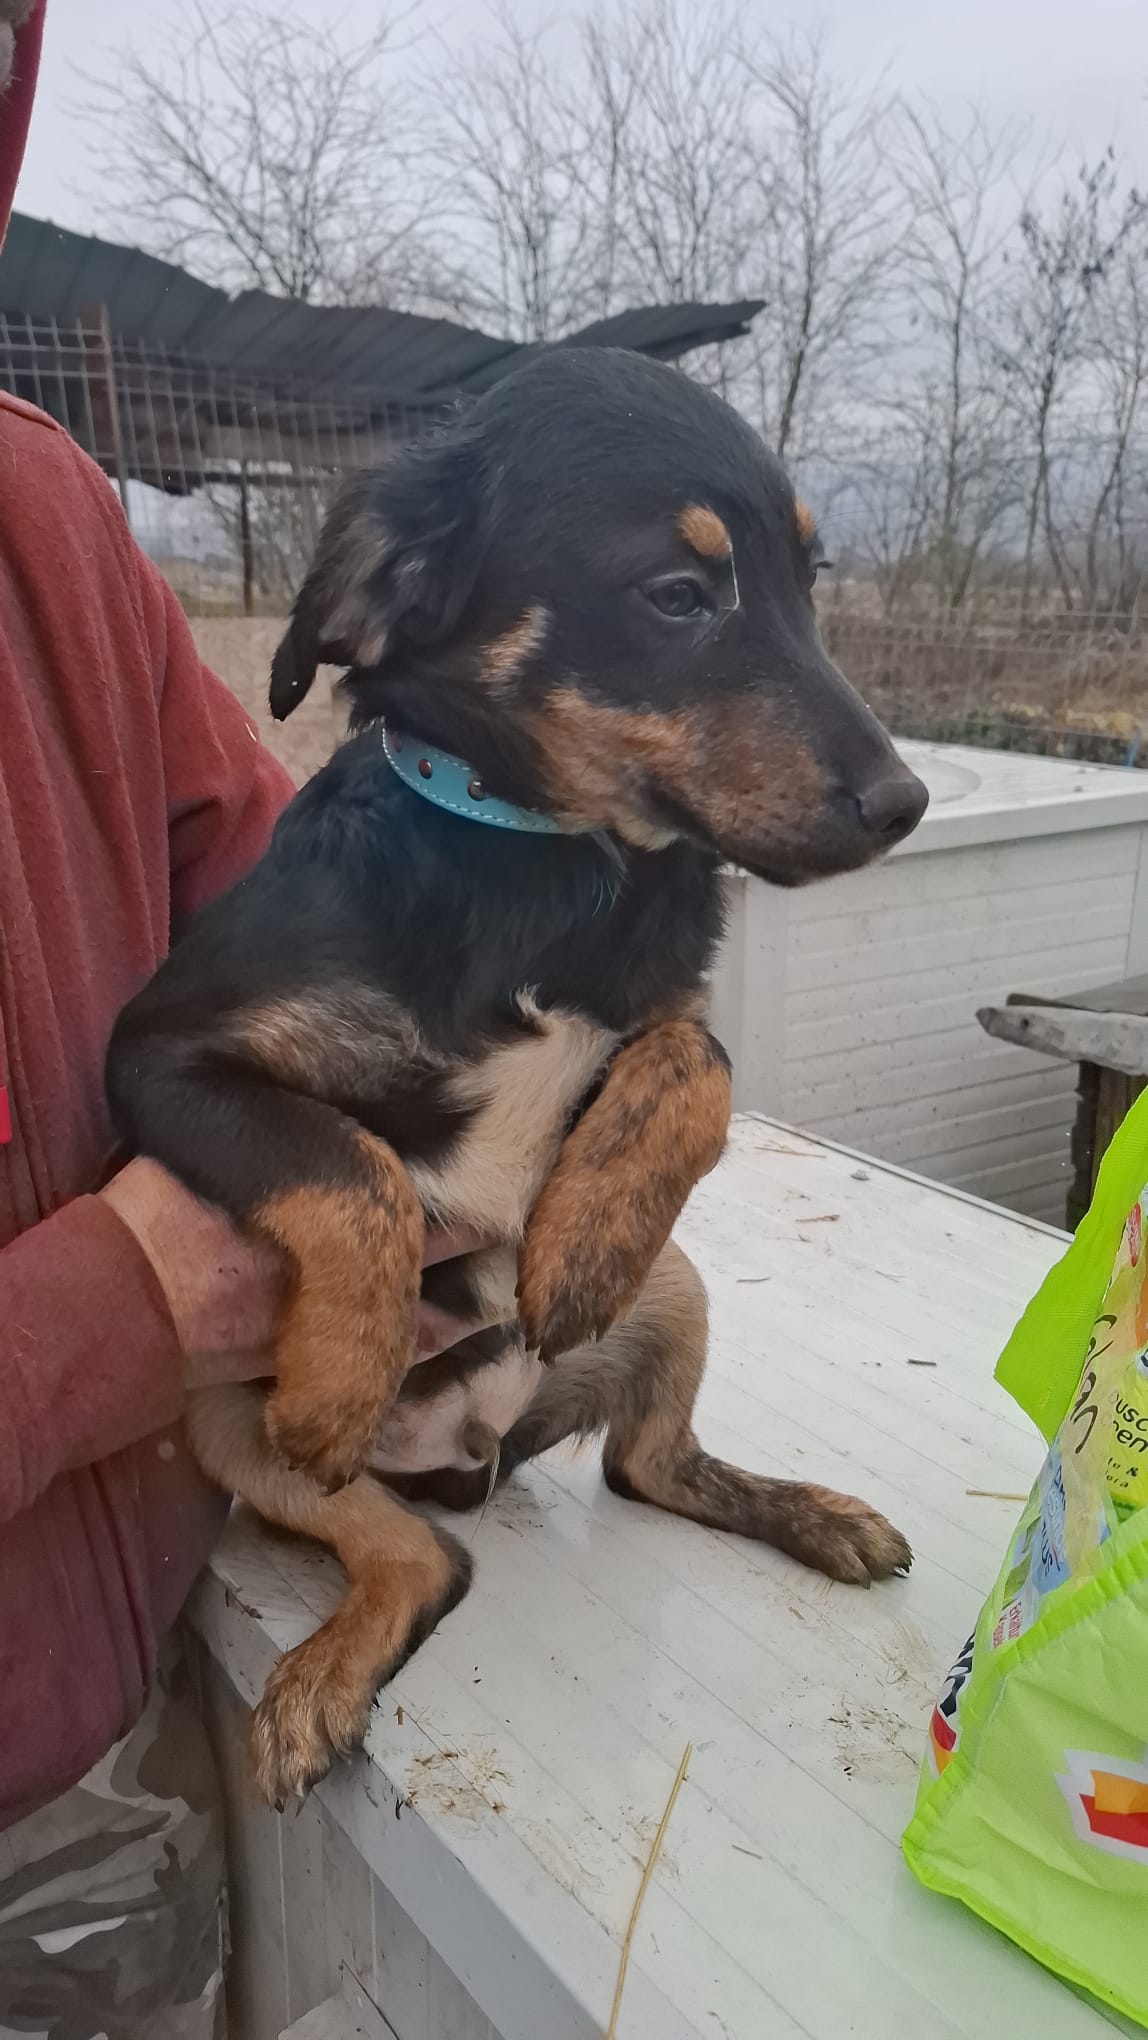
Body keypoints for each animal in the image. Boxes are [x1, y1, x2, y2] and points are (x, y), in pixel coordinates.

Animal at [106, 348, 928, 1804]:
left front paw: (584, 1240)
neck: (547, 859)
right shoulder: (162, 1059)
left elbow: (696, 1058)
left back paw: (817, 1515)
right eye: (677, 595)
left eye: (808, 582)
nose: (906, 806)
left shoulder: (668, 1010)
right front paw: (344, 1370)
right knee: (425, 1558)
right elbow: (351, 1166)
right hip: (217, 1419)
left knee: (648, 1473)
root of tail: (466, 1455)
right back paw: (324, 1671)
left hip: (678, 1286)